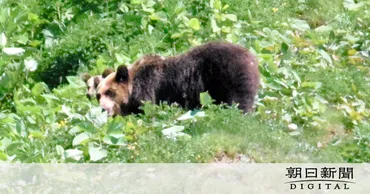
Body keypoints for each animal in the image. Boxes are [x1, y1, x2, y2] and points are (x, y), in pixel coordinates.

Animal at [95, 42, 260, 116]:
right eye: (98, 95)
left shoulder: (148, 86)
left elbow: (147, 108)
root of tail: (251, 56)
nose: (103, 108)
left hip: (229, 76)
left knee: (239, 100)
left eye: (110, 92)